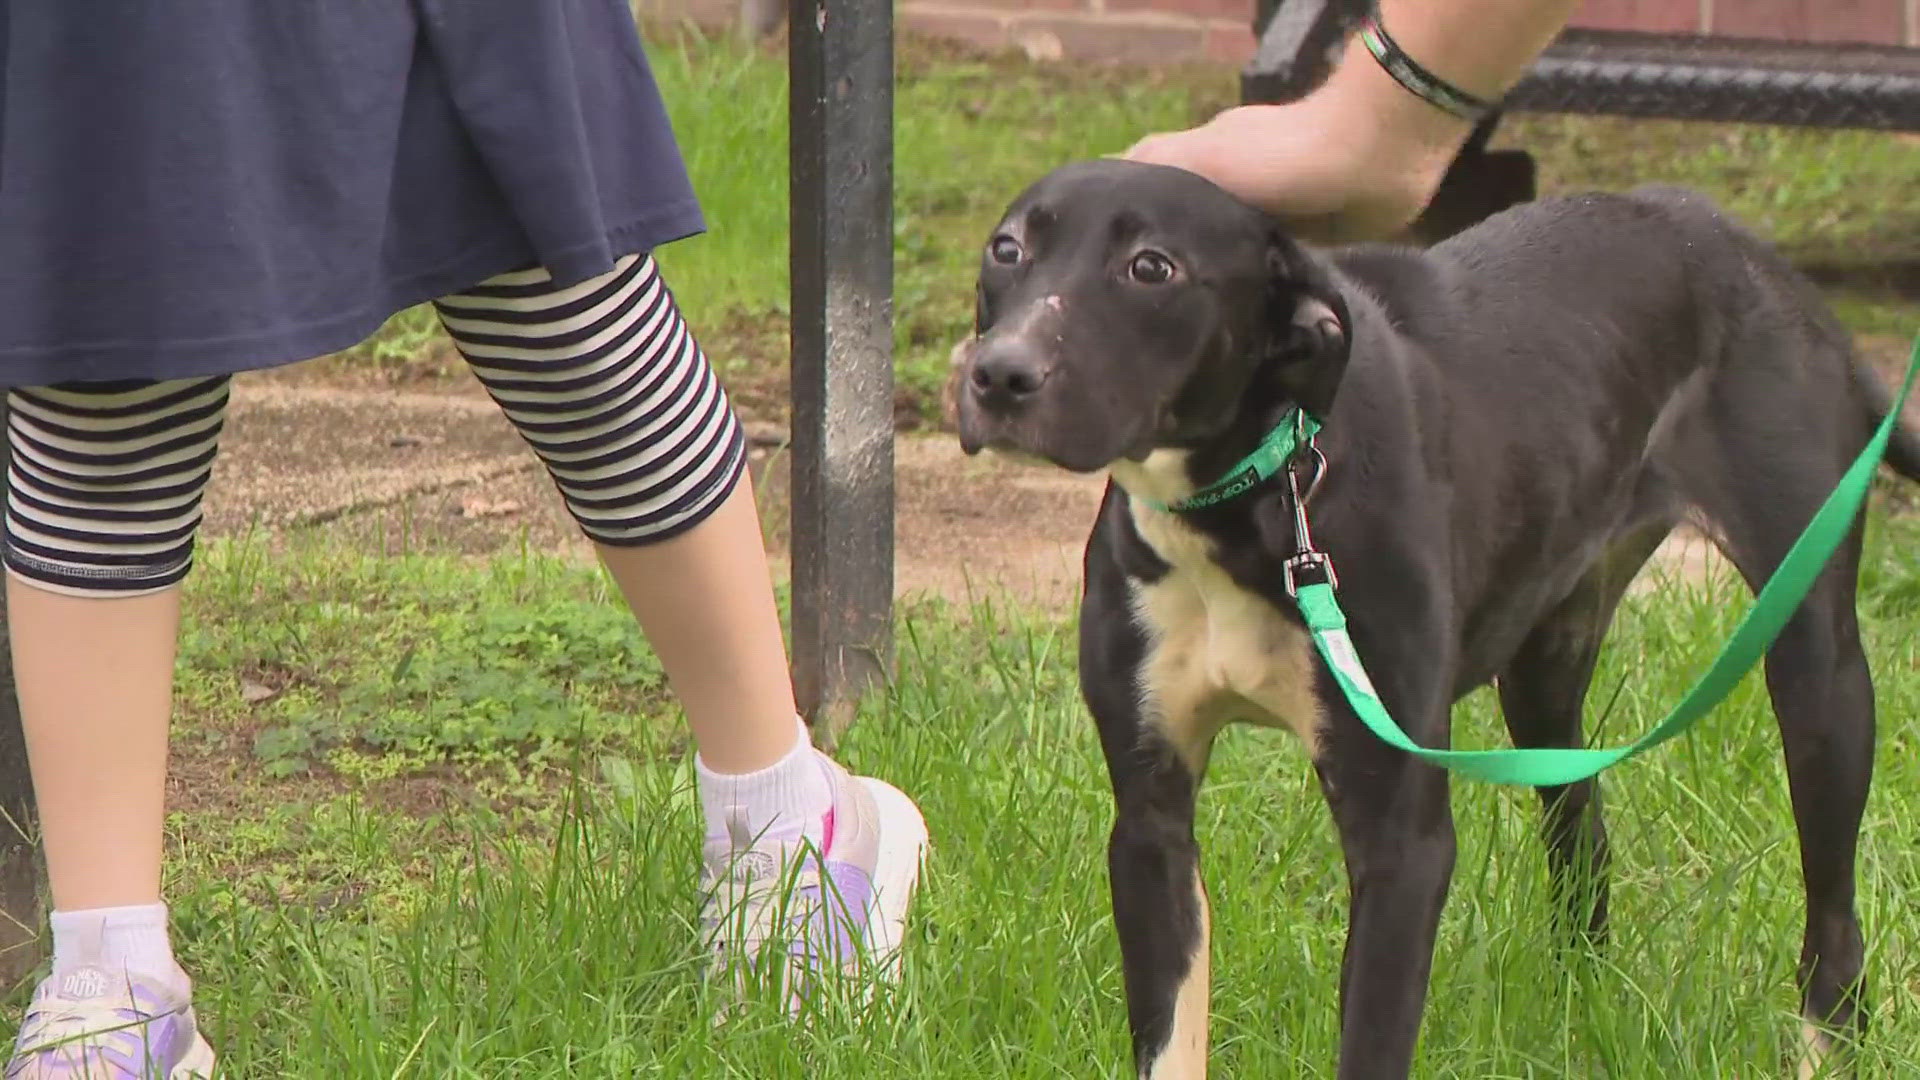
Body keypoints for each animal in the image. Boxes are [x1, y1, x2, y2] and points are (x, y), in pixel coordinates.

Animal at [948, 159, 1920, 1076]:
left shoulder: (1400, 839)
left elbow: (1372, 1043)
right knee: (1583, 842)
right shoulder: (1150, 821)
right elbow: (1170, 1036)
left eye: (1151, 266)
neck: (1255, 496)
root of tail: (1745, 247)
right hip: (1544, 678)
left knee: (1833, 918)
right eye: (1008, 248)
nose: (998, 373)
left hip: (1816, 668)